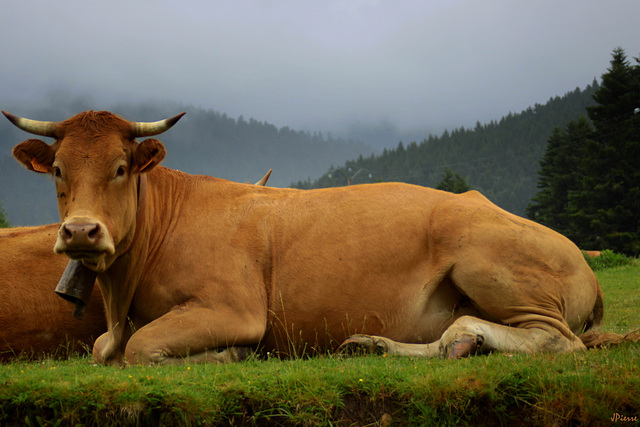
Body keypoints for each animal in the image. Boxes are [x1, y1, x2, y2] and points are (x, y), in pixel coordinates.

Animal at [2, 108, 628, 366]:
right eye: (57, 170)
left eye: (120, 168)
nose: (81, 231)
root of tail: (584, 262)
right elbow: (101, 349)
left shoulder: (234, 307)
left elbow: (138, 349)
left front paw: (228, 354)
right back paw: (380, 346)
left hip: (484, 258)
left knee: (555, 341)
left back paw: (463, 340)